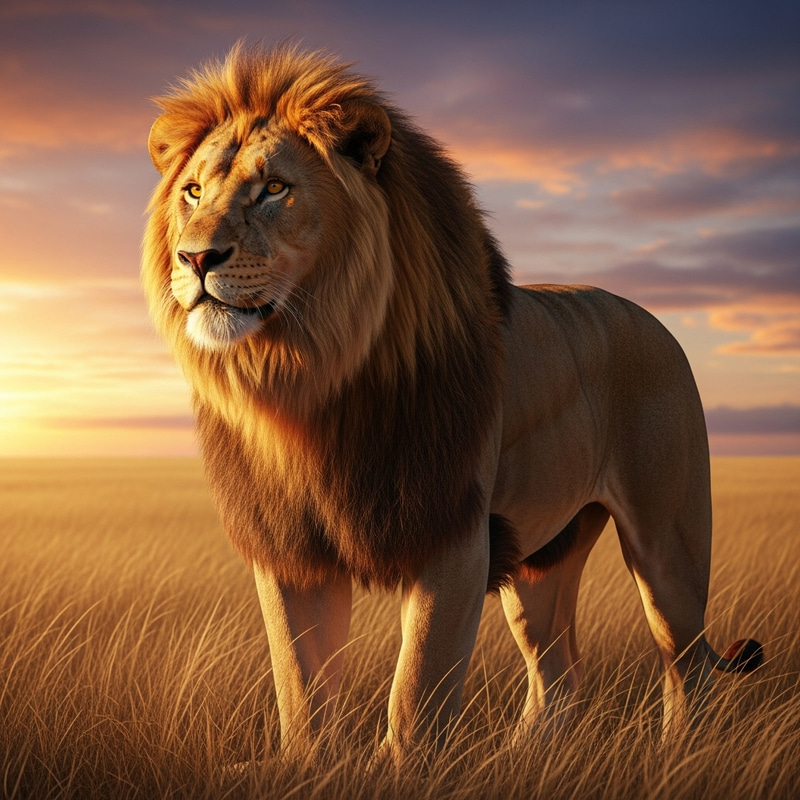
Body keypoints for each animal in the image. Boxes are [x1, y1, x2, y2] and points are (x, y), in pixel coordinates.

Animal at [142, 43, 763, 761]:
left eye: (275, 189)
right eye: (193, 191)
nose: (195, 257)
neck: (309, 380)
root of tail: (651, 318)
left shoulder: (455, 535)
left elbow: (416, 696)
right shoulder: (289, 549)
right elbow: (301, 693)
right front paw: (308, 766)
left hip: (669, 546)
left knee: (686, 665)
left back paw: (674, 757)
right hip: (541, 561)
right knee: (558, 675)